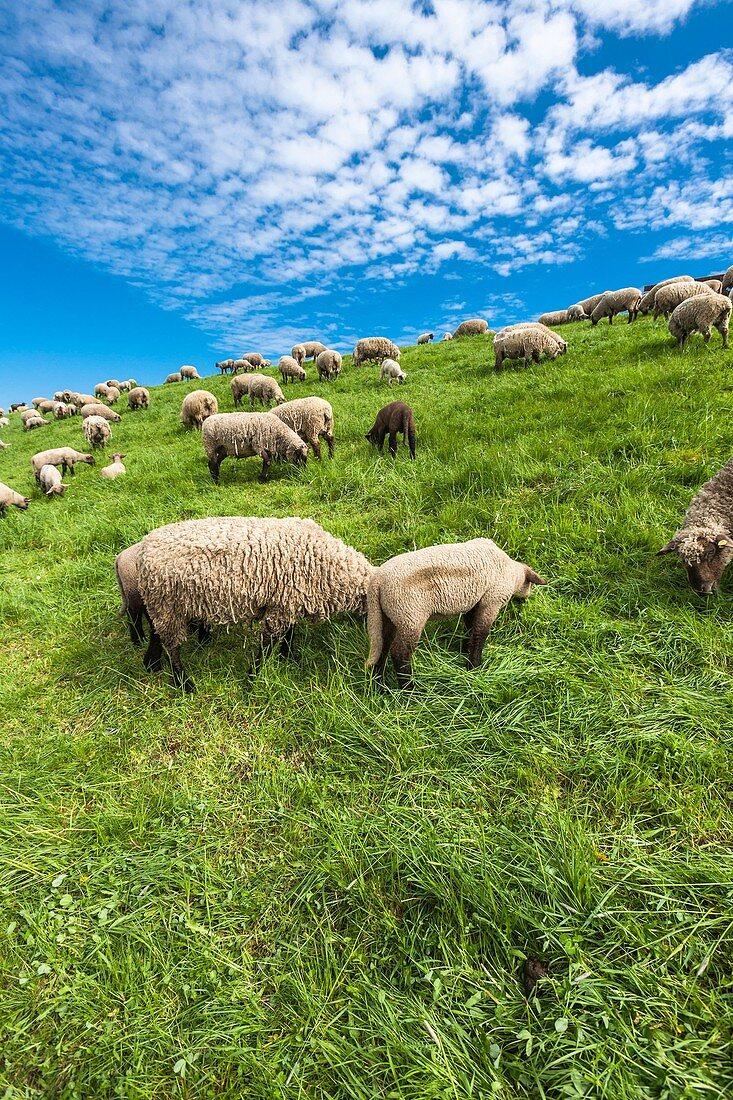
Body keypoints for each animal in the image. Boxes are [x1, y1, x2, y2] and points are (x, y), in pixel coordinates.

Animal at [132, 514, 372, 686]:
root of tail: (143, 549)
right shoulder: (281, 606)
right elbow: (267, 645)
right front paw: (254, 676)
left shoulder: (287, 603)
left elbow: (289, 634)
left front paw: (288, 658)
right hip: (166, 604)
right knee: (171, 646)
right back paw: (183, 682)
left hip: (159, 603)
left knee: (155, 632)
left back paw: (151, 663)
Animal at [363, 539, 541, 686]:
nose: (526, 600)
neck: (512, 572)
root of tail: (377, 581)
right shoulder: (491, 600)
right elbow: (480, 634)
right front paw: (475, 667)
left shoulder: (474, 602)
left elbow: (470, 628)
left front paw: (464, 651)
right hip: (410, 616)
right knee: (399, 654)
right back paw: (409, 690)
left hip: (387, 616)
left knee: (382, 646)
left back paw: (381, 686)